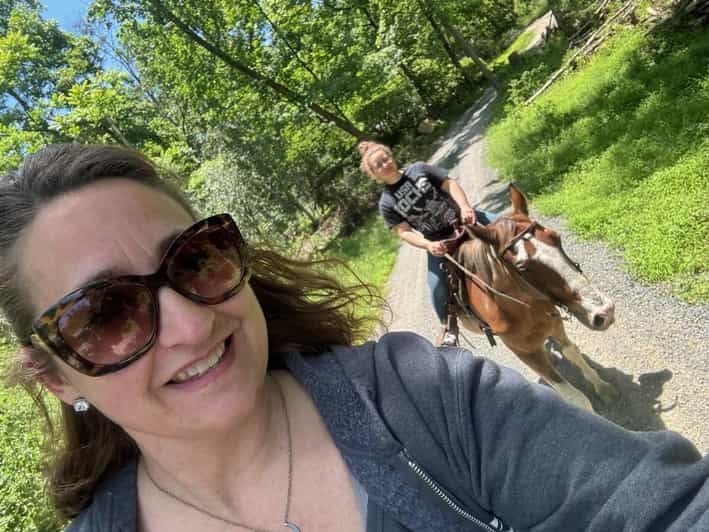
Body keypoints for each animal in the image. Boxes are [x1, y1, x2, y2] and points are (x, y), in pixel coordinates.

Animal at [454, 185, 612, 414]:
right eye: (522, 268)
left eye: (557, 238)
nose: (604, 313)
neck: (525, 307)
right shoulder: (525, 353)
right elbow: (577, 398)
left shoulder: (554, 323)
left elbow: (572, 351)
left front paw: (602, 387)